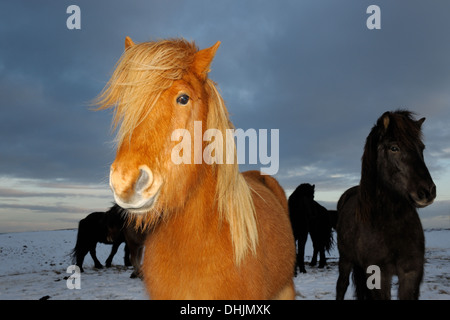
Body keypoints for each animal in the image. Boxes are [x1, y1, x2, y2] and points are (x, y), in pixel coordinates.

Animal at [338, 110, 436, 300]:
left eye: (422, 148)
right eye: (394, 148)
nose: (427, 192)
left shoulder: (411, 274)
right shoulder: (378, 276)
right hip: (345, 260)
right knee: (341, 286)